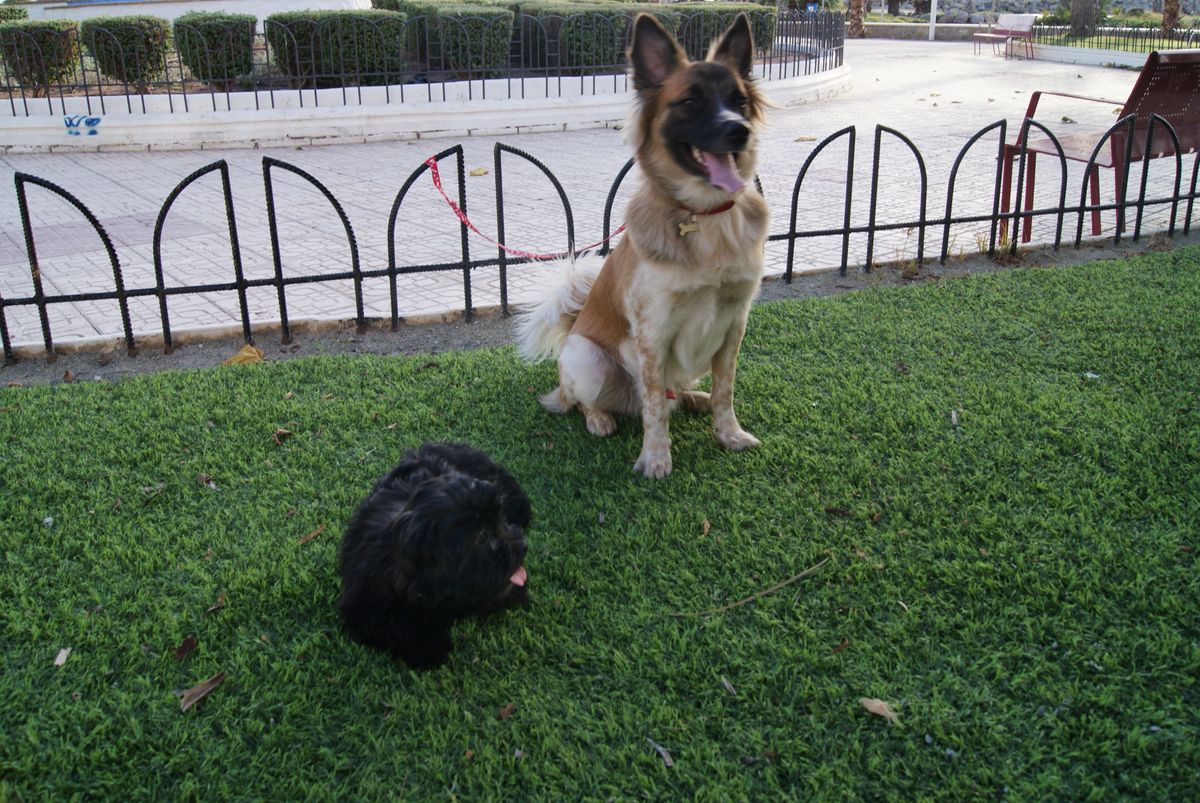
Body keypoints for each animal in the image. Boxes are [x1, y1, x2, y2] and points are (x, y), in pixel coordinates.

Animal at [333, 441, 530, 667]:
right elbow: (394, 625)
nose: (522, 545)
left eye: (501, 518)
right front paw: (429, 647)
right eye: (482, 536)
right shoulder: (365, 605)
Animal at [518, 14, 768, 475]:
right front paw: (655, 458)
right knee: (582, 401)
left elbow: (725, 390)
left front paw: (729, 434)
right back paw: (599, 418)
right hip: (585, 357)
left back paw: (694, 398)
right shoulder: (653, 332)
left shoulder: (734, 322)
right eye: (690, 101)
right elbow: (653, 404)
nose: (739, 131)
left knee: (677, 394)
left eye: (738, 100)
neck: (703, 217)